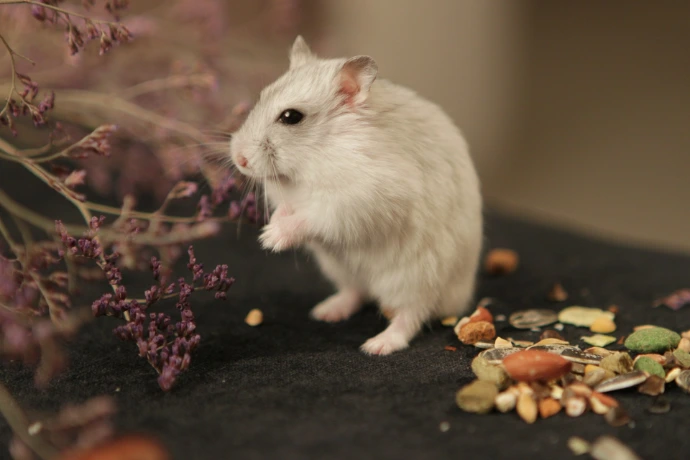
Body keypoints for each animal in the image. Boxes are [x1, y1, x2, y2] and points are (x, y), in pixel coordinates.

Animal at [229, 36, 483, 355]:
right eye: (261, 97)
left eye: (291, 117)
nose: (239, 159)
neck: (310, 159)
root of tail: (459, 298)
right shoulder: (292, 199)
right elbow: (286, 211)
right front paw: (270, 229)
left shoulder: (358, 201)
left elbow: (310, 217)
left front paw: (270, 239)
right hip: (342, 270)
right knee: (356, 292)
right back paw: (325, 312)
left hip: (416, 280)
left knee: (411, 316)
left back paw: (377, 345)